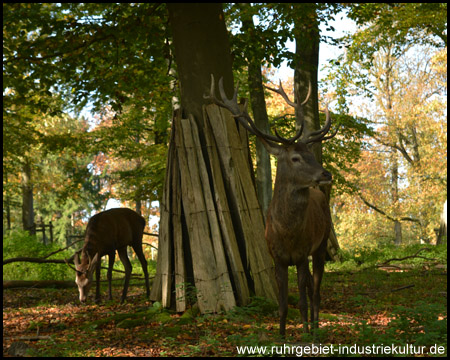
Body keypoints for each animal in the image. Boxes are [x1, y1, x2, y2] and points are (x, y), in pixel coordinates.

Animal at [206, 74, 336, 336]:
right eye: (295, 158)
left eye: (311, 154)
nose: (326, 174)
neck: (286, 232)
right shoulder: (276, 257)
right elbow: (283, 303)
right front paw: (282, 334)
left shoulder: (301, 254)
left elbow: (302, 300)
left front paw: (304, 334)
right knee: (311, 288)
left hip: (320, 244)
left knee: (316, 291)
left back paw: (316, 328)